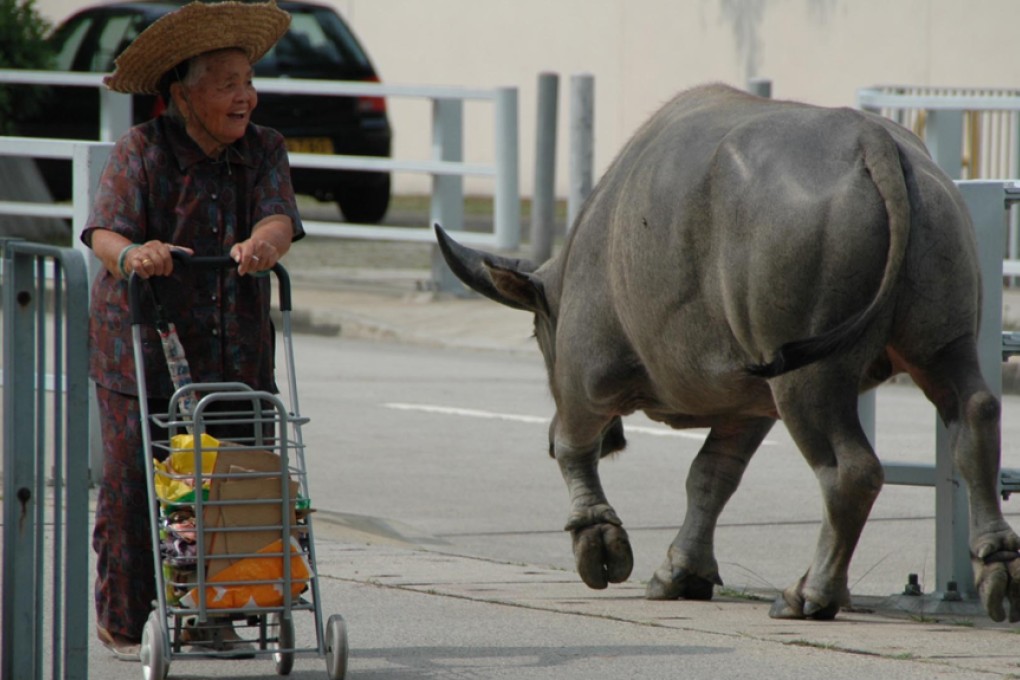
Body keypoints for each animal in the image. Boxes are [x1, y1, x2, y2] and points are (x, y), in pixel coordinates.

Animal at [434, 83, 1020, 622]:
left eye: (539, 336)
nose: (616, 440)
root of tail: (873, 142)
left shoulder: (585, 379)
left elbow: (574, 449)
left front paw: (597, 543)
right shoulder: (749, 406)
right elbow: (711, 476)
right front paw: (682, 572)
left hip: (808, 377)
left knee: (849, 469)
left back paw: (811, 594)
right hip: (941, 336)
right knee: (973, 414)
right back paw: (996, 567)